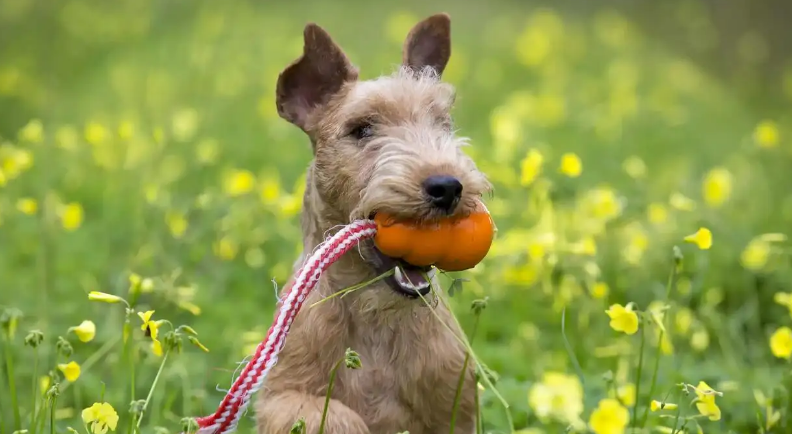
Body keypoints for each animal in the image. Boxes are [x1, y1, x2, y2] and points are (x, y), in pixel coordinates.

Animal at [255, 12, 488, 434]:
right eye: (361, 129)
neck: (376, 314)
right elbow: (330, 414)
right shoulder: (281, 396)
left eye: (442, 123)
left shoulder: (458, 408)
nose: (447, 186)